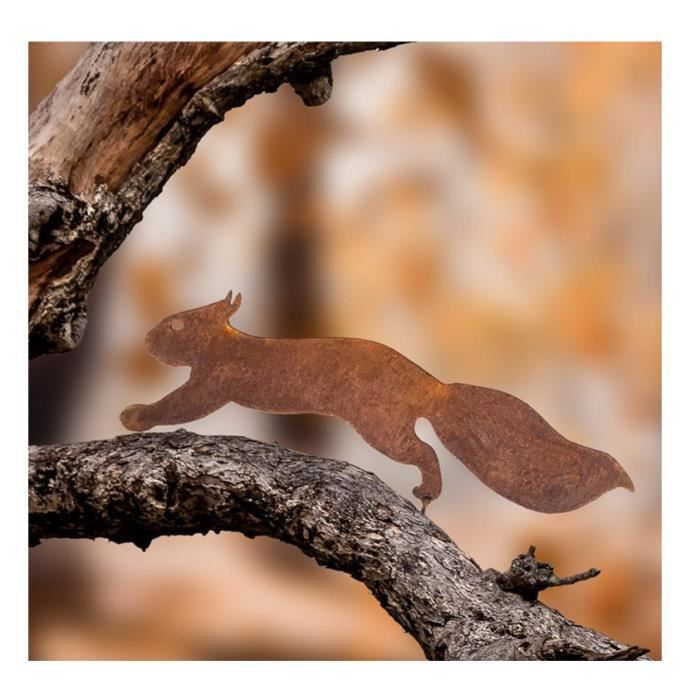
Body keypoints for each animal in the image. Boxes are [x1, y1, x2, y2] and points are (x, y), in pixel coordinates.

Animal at [120, 291, 634, 514]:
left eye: (177, 325)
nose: (145, 339)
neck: (227, 343)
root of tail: (432, 386)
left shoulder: (212, 383)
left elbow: (178, 405)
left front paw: (134, 415)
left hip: (380, 425)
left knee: (424, 451)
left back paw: (426, 492)